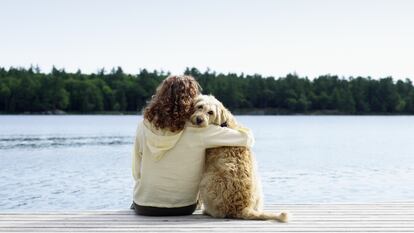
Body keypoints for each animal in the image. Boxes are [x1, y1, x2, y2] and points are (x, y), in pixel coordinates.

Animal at [191, 94, 288, 222]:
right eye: (200, 106)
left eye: (210, 112)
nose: (199, 119)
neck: (223, 122)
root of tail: (243, 208)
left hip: (207, 180)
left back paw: (207, 211)